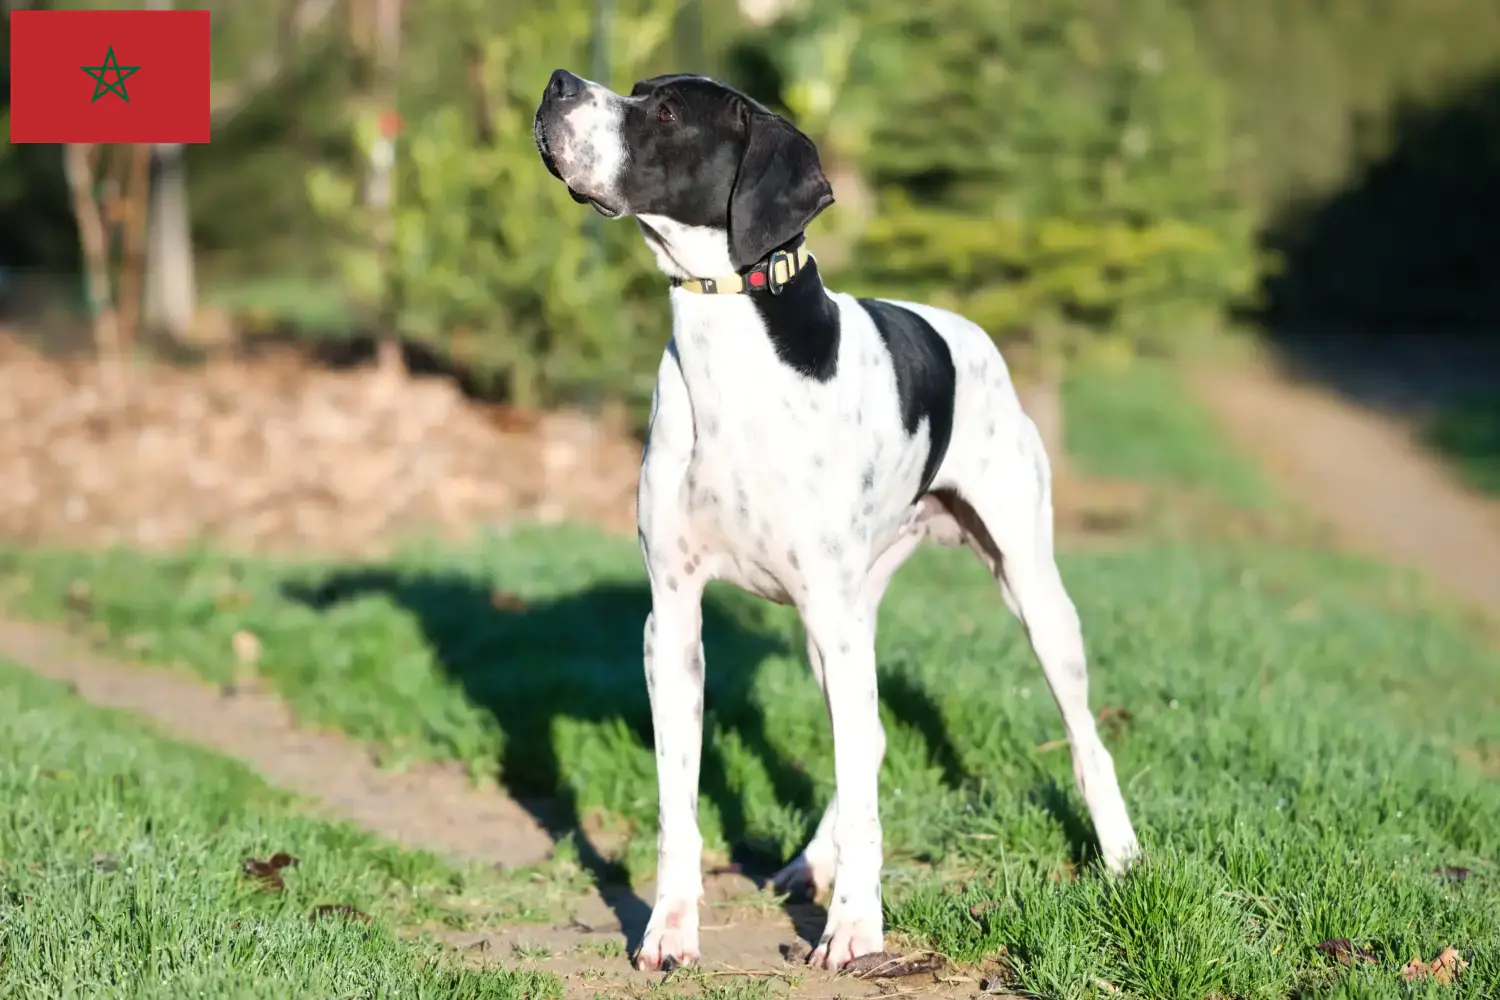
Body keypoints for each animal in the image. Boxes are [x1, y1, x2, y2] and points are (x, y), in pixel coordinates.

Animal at [537, 70, 1134, 977]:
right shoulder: (672, 619)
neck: (731, 352)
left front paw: (856, 929)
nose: (559, 84)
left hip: (1025, 591)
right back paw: (810, 862)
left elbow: (862, 796)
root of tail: (969, 332)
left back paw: (1122, 856)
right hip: (843, 625)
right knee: (871, 744)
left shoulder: (832, 616)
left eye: (666, 112)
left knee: (1079, 735)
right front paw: (669, 929)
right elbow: (680, 802)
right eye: (635, 90)